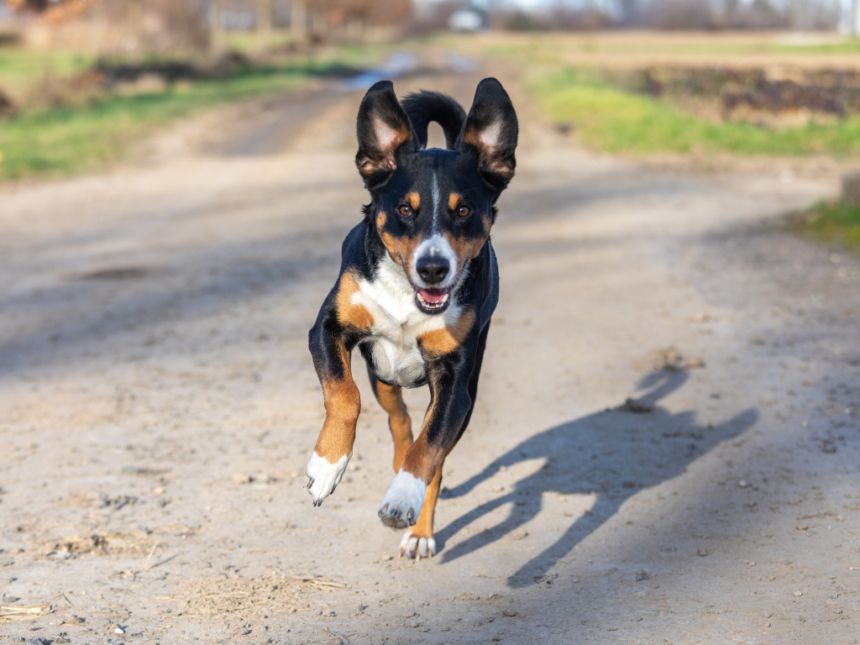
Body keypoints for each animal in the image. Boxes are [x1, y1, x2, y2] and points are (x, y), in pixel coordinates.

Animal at [304, 76, 516, 560]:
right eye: (404, 209)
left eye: (463, 210)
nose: (433, 268)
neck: (408, 300)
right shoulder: (327, 328)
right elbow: (344, 396)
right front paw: (327, 465)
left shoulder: (455, 385)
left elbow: (429, 450)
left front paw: (403, 497)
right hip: (382, 375)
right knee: (399, 422)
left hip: (467, 391)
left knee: (430, 451)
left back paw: (418, 528)